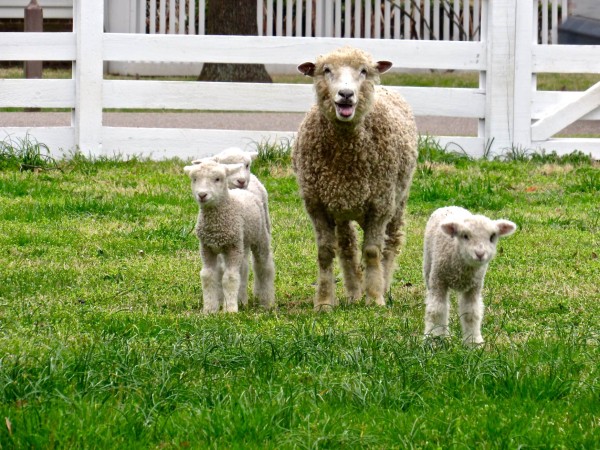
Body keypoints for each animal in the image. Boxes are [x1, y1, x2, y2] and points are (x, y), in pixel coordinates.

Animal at [184, 161, 276, 312]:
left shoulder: (232, 247)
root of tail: (243, 191)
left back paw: (266, 301)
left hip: (259, 236)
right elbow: (207, 276)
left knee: (263, 266)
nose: (202, 195)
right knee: (243, 268)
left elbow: (230, 277)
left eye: (217, 179)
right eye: (195, 179)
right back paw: (241, 300)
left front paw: (231, 309)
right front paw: (210, 309)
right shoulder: (206, 247)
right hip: (242, 242)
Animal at [290, 46, 418, 310]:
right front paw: (324, 302)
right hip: (341, 206)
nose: (346, 94)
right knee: (347, 245)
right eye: (326, 70)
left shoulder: (380, 206)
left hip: (397, 199)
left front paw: (375, 298)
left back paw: (383, 284)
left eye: (364, 71)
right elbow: (326, 252)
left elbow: (371, 251)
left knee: (391, 243)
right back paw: (353, 292)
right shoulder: (317, 206)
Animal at [422, 206, 516, 346]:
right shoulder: (438, 280)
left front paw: (474, 343)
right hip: (429, 265)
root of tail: (450, 206)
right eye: (465, 236)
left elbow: (471, 313)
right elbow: (437, 310)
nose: (480, 254)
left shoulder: (474, 287)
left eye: (492, 237)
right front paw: (434, 339)